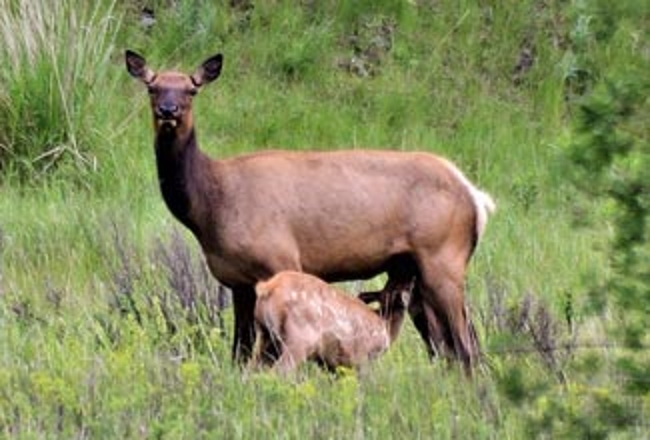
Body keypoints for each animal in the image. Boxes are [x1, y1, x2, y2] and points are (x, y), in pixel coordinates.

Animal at [124, 48, 494, 372]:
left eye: (192, 89)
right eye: (152, 86)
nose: (168, 110)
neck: (211, 208)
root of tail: (476, 197)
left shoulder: (281, 258)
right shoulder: (236, 282)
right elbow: (239, 353)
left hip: (444, 258)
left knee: (467, 346)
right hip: (411, 269)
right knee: (443, 346)